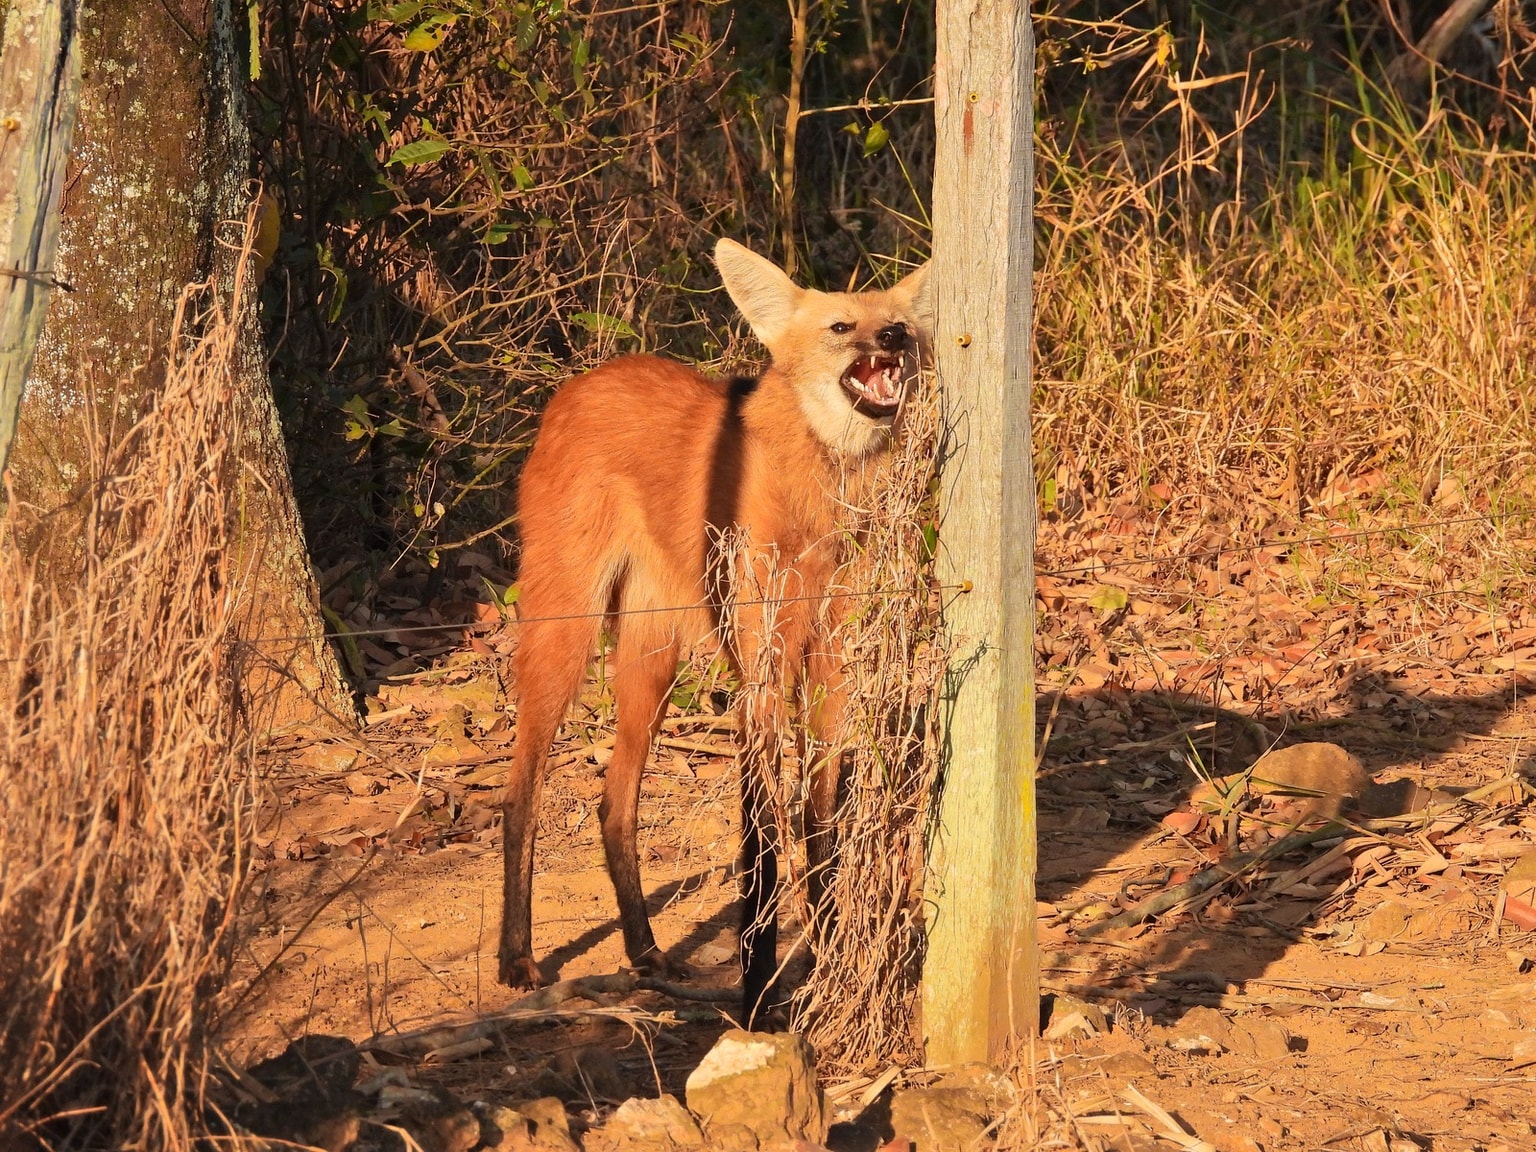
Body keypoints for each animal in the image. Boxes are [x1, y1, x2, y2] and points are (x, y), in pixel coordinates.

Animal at [499, 238, 932, 1020]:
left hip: (652, 660)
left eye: (900, 325)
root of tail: (581, 383)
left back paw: (645, 951)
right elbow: (760, 845)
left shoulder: (826, 669)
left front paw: (826, 957)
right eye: (841, 327)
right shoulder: (761, 676)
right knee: (522, 795)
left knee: (615, 803)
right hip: (567, 639)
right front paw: (758, 992)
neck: (814, 502)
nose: (893, 337)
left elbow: (818, 825)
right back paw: (516, 956)